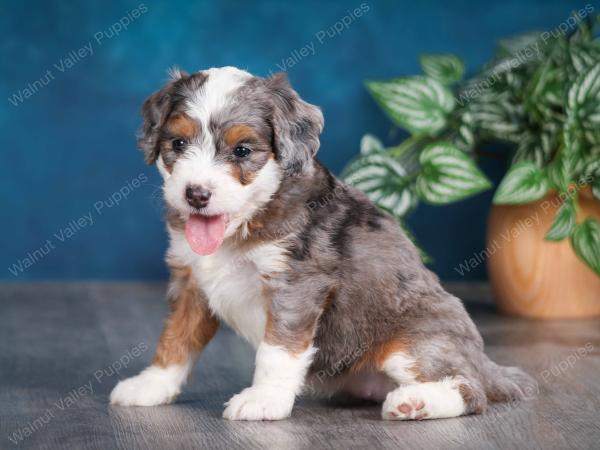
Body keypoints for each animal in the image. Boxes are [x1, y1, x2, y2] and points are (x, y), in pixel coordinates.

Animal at [110, 67, 532, 422]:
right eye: (178, 143)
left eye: (242, 150)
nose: (196, 194)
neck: (247, 221)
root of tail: (483, 360)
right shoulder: (191, 280)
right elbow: (175, 338)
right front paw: (152, 385)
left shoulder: (297, 283)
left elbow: (277, 350)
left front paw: (264, 399)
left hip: (415, 343)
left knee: (471, 390)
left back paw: (415, 402)